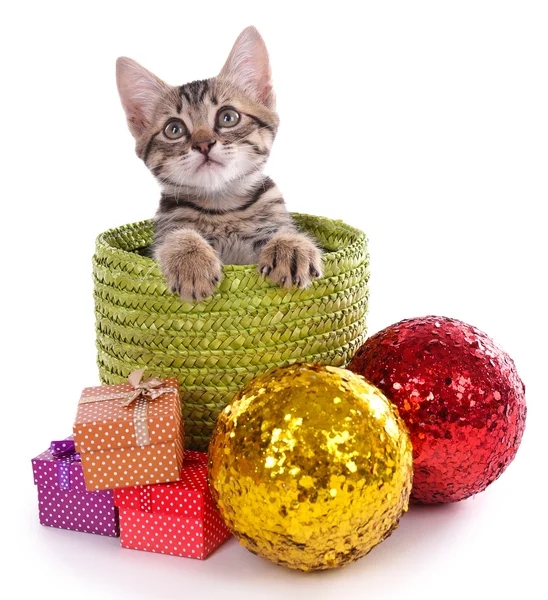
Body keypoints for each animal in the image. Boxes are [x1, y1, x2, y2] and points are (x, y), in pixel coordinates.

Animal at [115, 26, 322, 302]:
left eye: (228, 117)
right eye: (174, 129)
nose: (203, 144)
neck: (223, 207)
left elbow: (283, 229)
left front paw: (291, 245)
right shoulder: (167, 227)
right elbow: (178, 234)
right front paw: (191, 260)